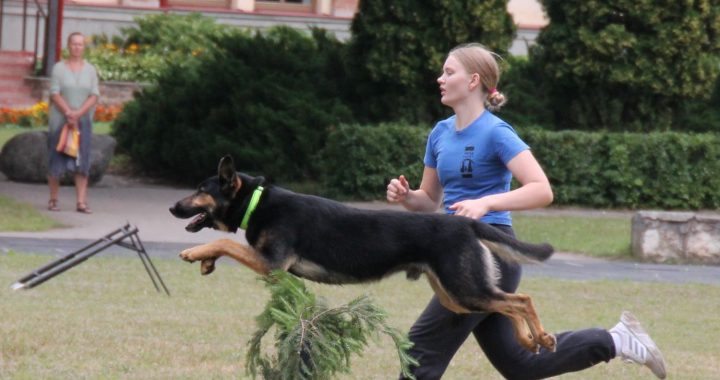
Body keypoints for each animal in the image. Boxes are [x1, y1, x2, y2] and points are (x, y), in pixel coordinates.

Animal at [172, 156, 560, 352]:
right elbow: (226, 245)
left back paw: (539, 336)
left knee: (521, 300)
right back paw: (529, 339)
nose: (173, 207)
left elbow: (227, 243)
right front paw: (206, 260)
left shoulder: (272, 265)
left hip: (466, 291)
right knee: (507, 302)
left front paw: (195, 253)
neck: (257, 201)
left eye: (200, 189)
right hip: (457, 297)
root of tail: (466, 223)